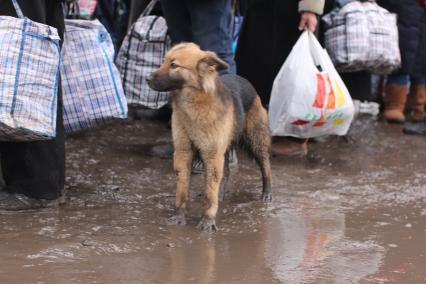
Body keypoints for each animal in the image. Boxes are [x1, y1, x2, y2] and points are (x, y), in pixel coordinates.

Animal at [148, 43, 272, 232]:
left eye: (174, 65)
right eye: (164, 61)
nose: (147, 78)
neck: (194, 104)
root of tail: (244, 79)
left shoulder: (212, 154)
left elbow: (209, 192)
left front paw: (208, 220)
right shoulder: (184, 151)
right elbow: (182, 189)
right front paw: (179, 216)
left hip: (256, 141)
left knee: (266, 167)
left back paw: (267, 193)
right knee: (225, 173)